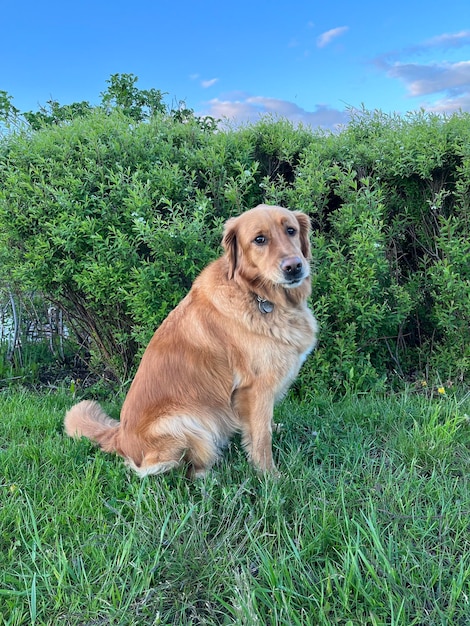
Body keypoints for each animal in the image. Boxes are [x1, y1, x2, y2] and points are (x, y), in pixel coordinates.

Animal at [64, 202, 318, 476]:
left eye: (291, 230)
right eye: (259, 239)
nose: (294, 266)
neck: (257, 294)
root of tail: (119, 437)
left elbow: (264, 426)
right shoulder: (256, 387)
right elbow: (261, 438)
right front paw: (270, 476)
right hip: (184, 422)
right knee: (175, 469)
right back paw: (210, 474)